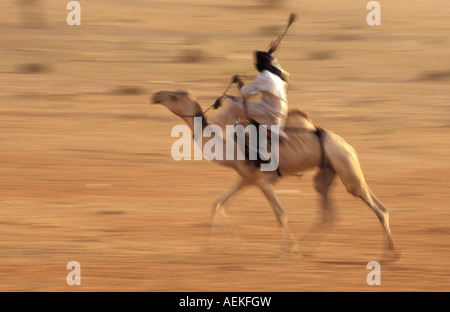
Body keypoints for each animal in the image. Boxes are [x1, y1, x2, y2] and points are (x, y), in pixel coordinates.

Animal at [152, 89, 400, 260]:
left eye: (173, 96)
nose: (155, 96)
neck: (229, 148)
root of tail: (347, 145)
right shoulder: (246, 179)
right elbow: (219, 203)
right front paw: (218, 245)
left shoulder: (261, 180)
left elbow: (280, 214)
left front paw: (288, 250)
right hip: (328, 171)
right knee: (329, 213)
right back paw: (309, 247)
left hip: (346, 166)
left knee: (378, 207)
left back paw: (390, 253)